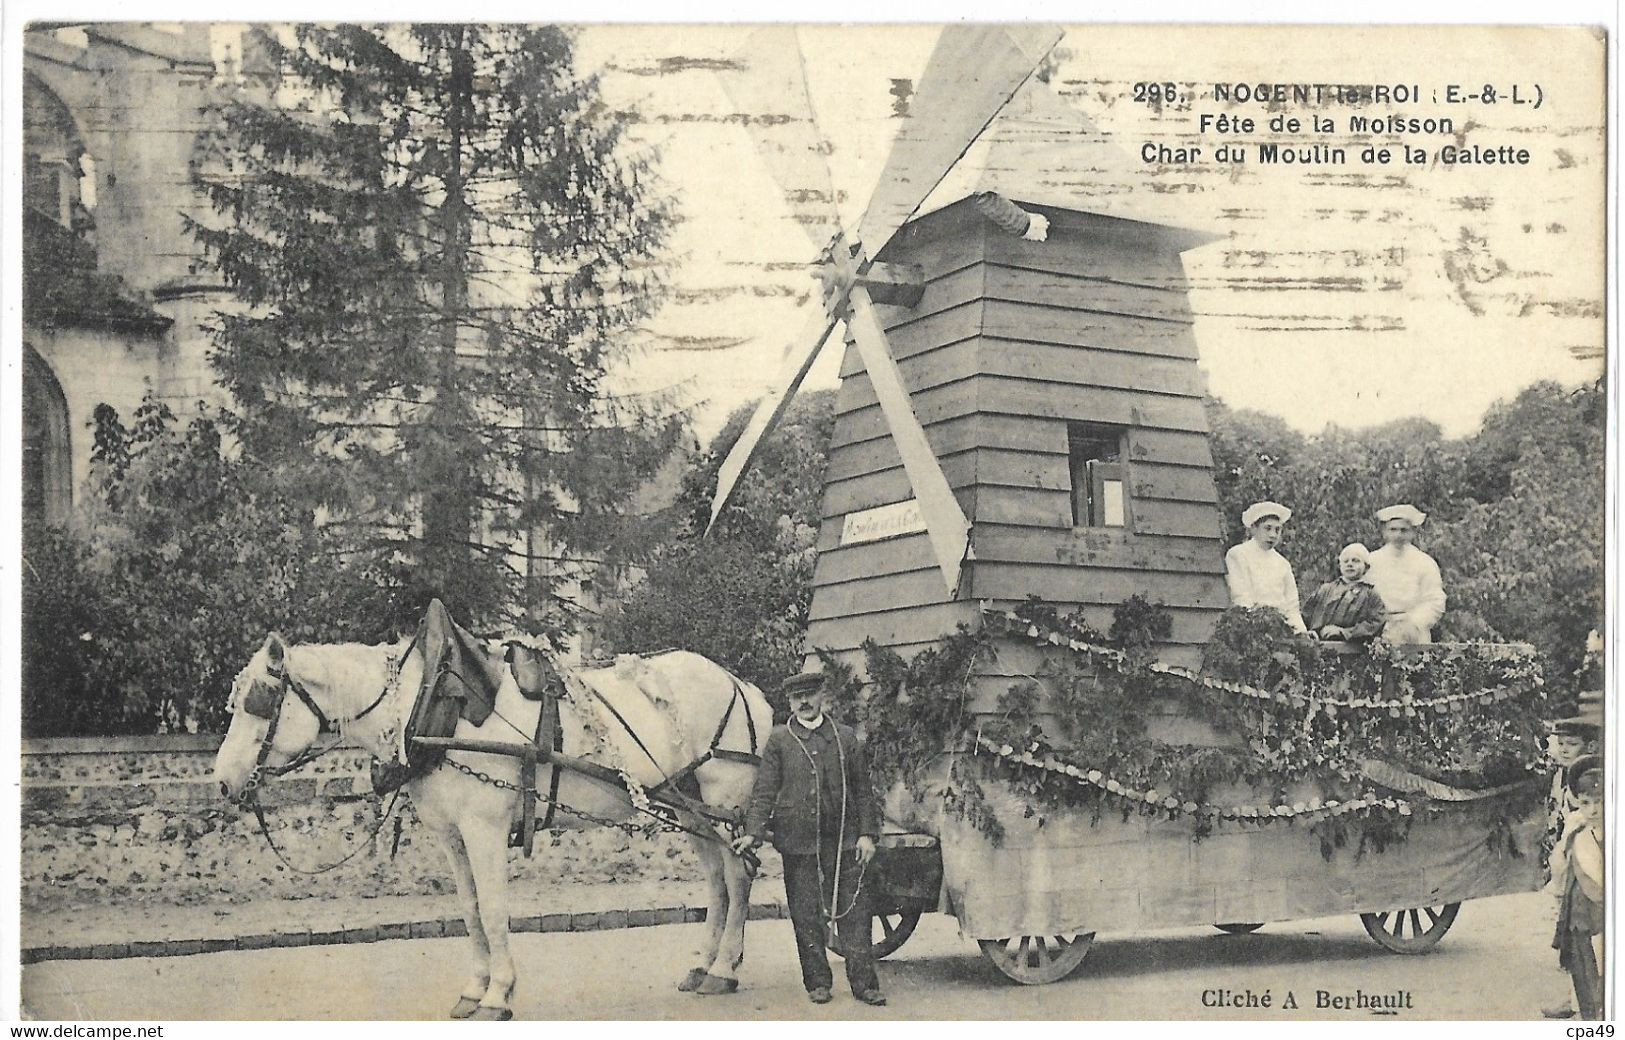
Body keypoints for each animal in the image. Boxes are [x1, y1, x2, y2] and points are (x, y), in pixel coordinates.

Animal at [214, 630, 773, 1020]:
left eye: (259, 702)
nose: (222, 782)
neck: (431, 709)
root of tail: (743, 686)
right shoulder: (451, 835)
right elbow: (470, 910)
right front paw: (474, 989)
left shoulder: (484, 828)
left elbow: (495, 909)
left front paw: (499, 994)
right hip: (689, 805)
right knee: (718, 883)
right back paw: (703, 963)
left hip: (724, 801)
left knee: (738, 877)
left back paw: (724, 968)